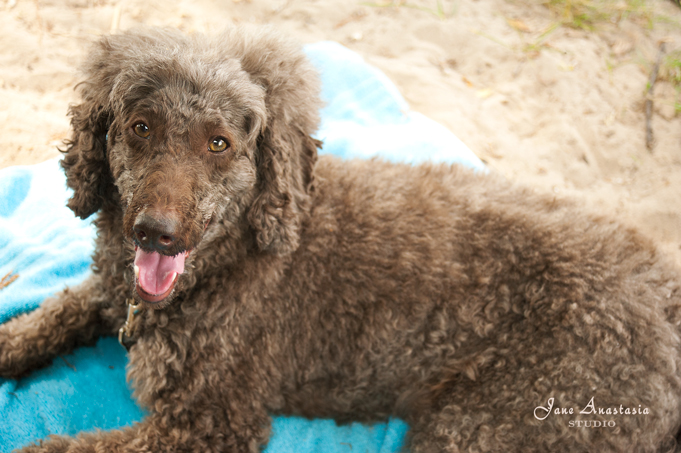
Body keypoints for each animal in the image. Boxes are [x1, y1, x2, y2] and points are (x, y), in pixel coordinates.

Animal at [1, 25, 680, 452]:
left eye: (219, 142)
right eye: (141, 127)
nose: (156, 234)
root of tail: (664, 293)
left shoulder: (209, 422)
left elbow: (63, 448)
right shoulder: (108, 292)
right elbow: (47, 318)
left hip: (494, 423)